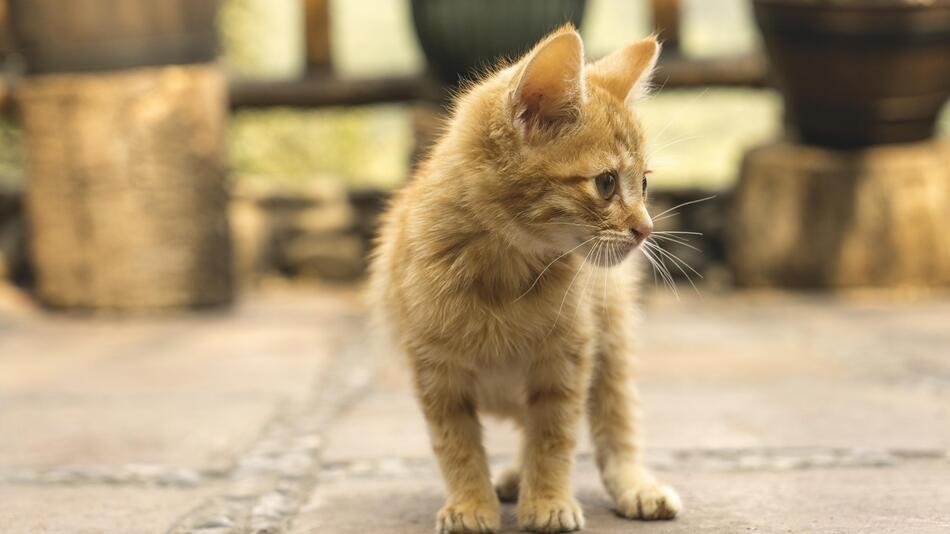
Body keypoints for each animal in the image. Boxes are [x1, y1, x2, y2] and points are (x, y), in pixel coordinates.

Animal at [368, 25, 680, 534]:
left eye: (645, 184)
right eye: (607, 183)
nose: (646, 229)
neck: (505, 275)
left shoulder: (567, 358)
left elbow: (553, 436)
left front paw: (548, 499)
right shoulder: (436, 370)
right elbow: (456, 444)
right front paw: (471, 504)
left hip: (611, 341)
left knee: (615, 422)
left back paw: (636, 486)